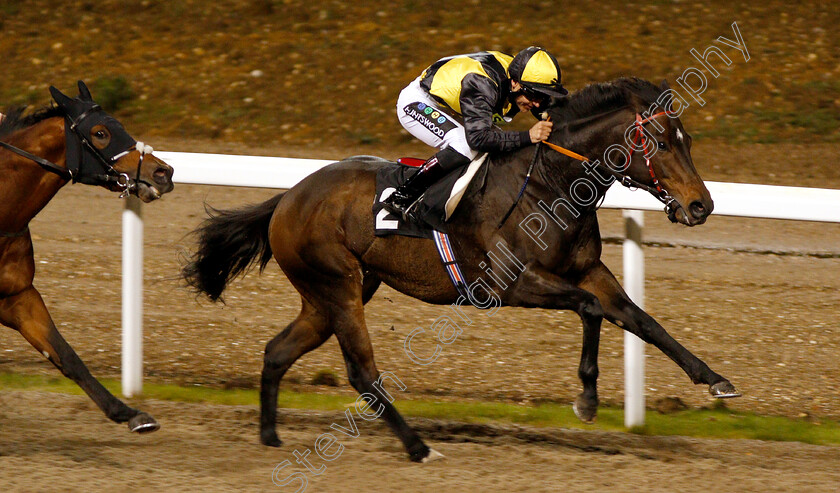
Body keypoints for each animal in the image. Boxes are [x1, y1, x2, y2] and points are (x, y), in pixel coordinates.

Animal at [185, 78, 740, 462]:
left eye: (688, 141)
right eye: (663, 144)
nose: (701, 206)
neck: (551, 182)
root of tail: (287, 198)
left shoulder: (588, 270)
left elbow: (641, 320)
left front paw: (714, 379)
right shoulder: (511, 282)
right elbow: (590, 310)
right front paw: (586, 399)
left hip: (332, 293)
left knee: (278, 351)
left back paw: (270, 436)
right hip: (337, 285)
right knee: (362, 372)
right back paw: (418, 447)